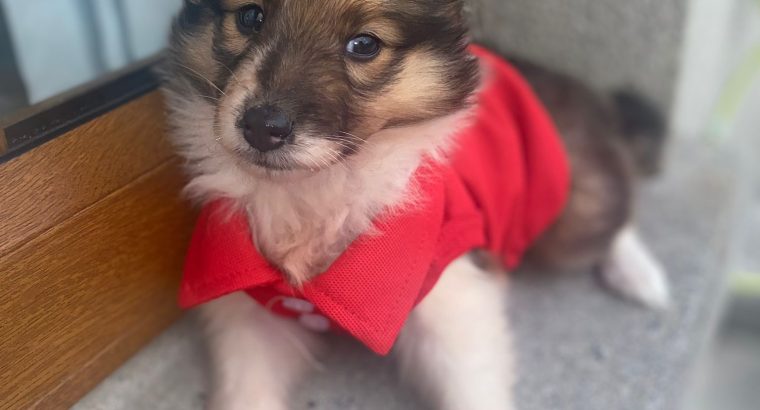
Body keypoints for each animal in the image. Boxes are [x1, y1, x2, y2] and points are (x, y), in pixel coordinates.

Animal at [163, 1, 668, 408]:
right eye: (250, 16)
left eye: (364, 44)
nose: (262, 127)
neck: (316, 189)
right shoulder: (249, 313)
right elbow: (246, 387)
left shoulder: (454, 297)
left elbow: (473, 384)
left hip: (573, 210)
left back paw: (643, 278)